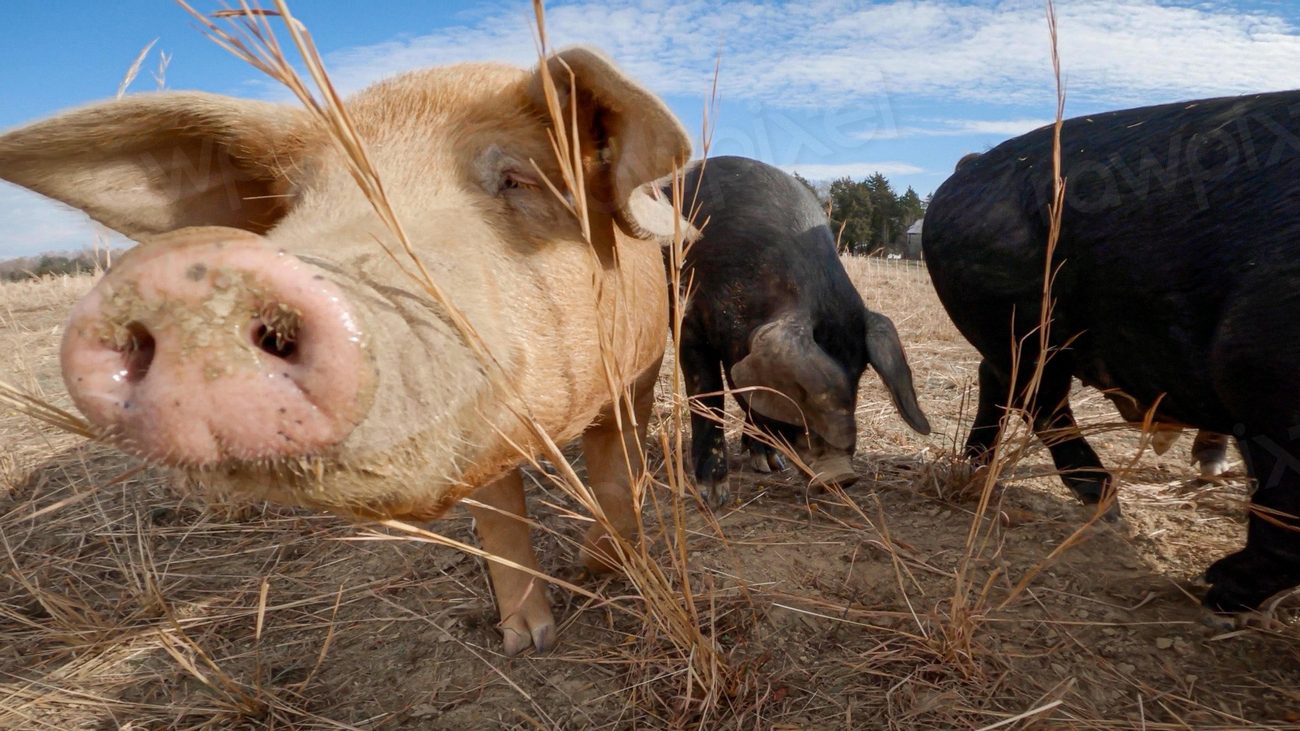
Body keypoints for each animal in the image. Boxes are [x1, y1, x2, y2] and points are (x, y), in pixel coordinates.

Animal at [0, 49, 691, 655]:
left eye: (518, 178)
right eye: (294, 203)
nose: (191, 279)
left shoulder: (637, 375)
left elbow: (617, 477)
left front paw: (606, 571)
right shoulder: (481, 423)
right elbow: (499, 521)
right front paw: (526, 643)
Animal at [665, 156, 930, 504]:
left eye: (857, 376)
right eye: (800, 393)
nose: (842, 476)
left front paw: (769, 465)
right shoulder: (688, 317)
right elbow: (707, 394)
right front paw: (713, 495)